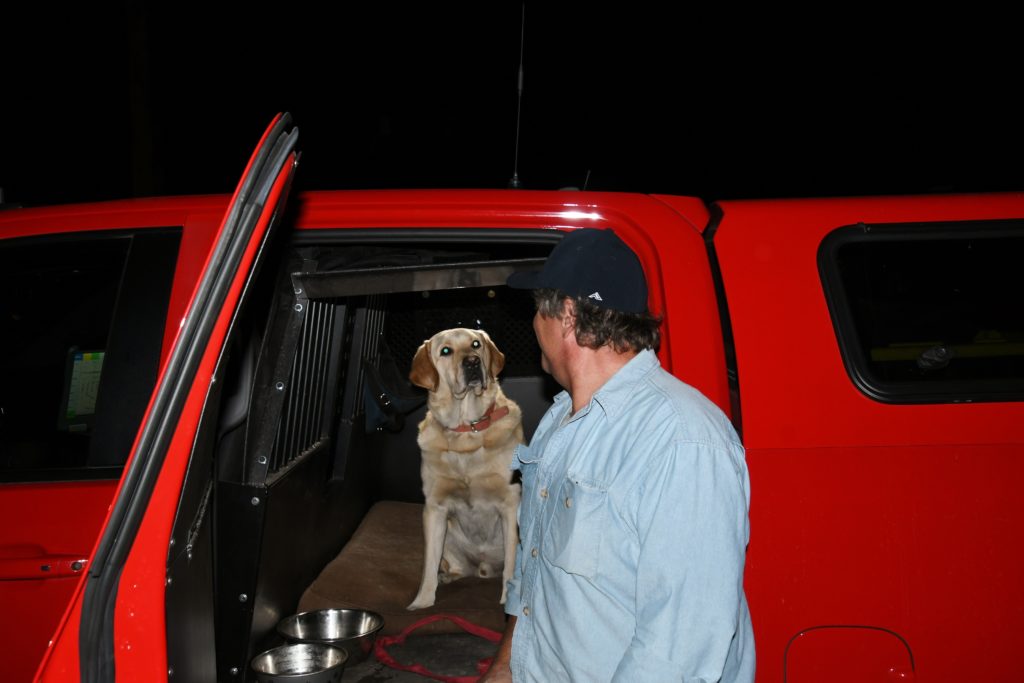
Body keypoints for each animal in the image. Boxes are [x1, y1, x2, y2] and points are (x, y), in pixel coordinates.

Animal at [406, 327, 523, 611]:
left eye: (476, 344)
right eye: (446, 350)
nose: (471, 362)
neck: (467, 430)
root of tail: (484, 568)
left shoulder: (510, 503)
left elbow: (510, 568)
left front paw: (507, 601)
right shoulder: (435, 508)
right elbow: (428, 565)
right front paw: (422, 602)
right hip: (449, 534)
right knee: (461, 569)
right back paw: (448, 576)